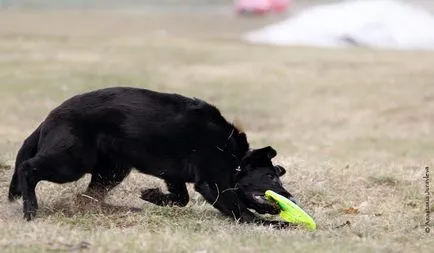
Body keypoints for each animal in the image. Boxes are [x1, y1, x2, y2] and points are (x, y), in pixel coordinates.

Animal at [7, 86, 298, 226]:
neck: (234, 157)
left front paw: (151, 196)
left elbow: (180, 199)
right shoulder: (212, 184)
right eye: (270, 177)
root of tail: (50, 116)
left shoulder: (175, 175)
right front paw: (278, 226)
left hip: (112, 169)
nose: (292, 198)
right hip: (72, 162)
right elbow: (242, 212)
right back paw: (30, 209)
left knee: (87, 199)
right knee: (27, 168)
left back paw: (124, 209)